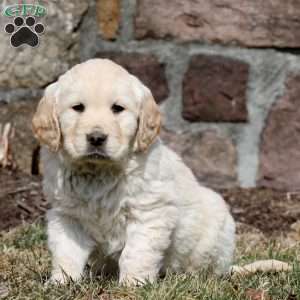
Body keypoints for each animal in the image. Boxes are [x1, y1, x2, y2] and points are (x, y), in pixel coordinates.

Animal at [32, 59, 234, 286]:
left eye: (117, 108)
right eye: (78, 108)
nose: (96, 138)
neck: (99, 172)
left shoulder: (149, 212)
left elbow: (136, 252)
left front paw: (133, 283)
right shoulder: (67, 215)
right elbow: (67, 251)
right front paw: (62, 281)